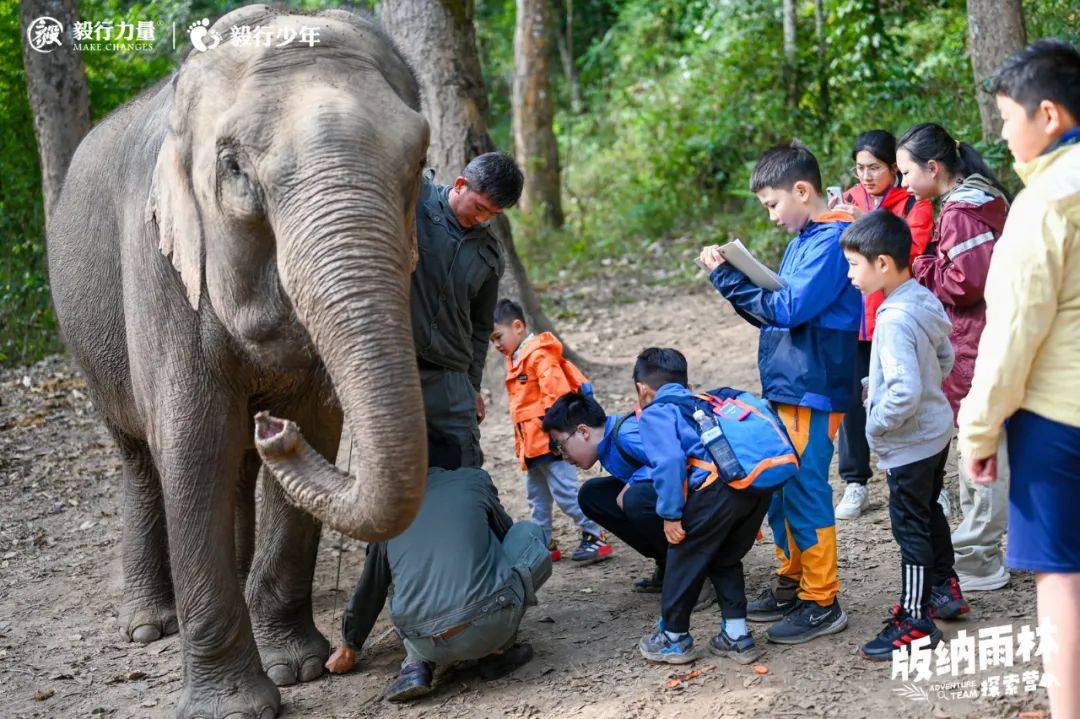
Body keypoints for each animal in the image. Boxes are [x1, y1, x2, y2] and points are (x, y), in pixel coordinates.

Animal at [47, 7, 429, 716]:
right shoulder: (159, 266)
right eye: (233, 167)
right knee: (141, 457)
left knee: (238, 463)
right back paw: (149, 625)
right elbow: (192, 443)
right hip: (87, 343)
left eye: (419, 158)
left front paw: (298, 668)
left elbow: (319, 427)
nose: (275, 432)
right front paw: (235, 705)